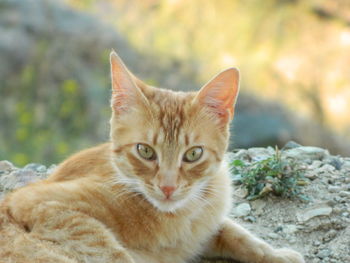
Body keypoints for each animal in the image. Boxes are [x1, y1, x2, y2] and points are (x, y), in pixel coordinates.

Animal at [0, 51, 304, 263]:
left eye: (193, 154)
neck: (175, 219)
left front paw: (276, 254)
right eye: (145, 151)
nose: (167, 187)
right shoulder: (37, 202)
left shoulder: (206, 221)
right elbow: (108, 250)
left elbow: (237, 233)